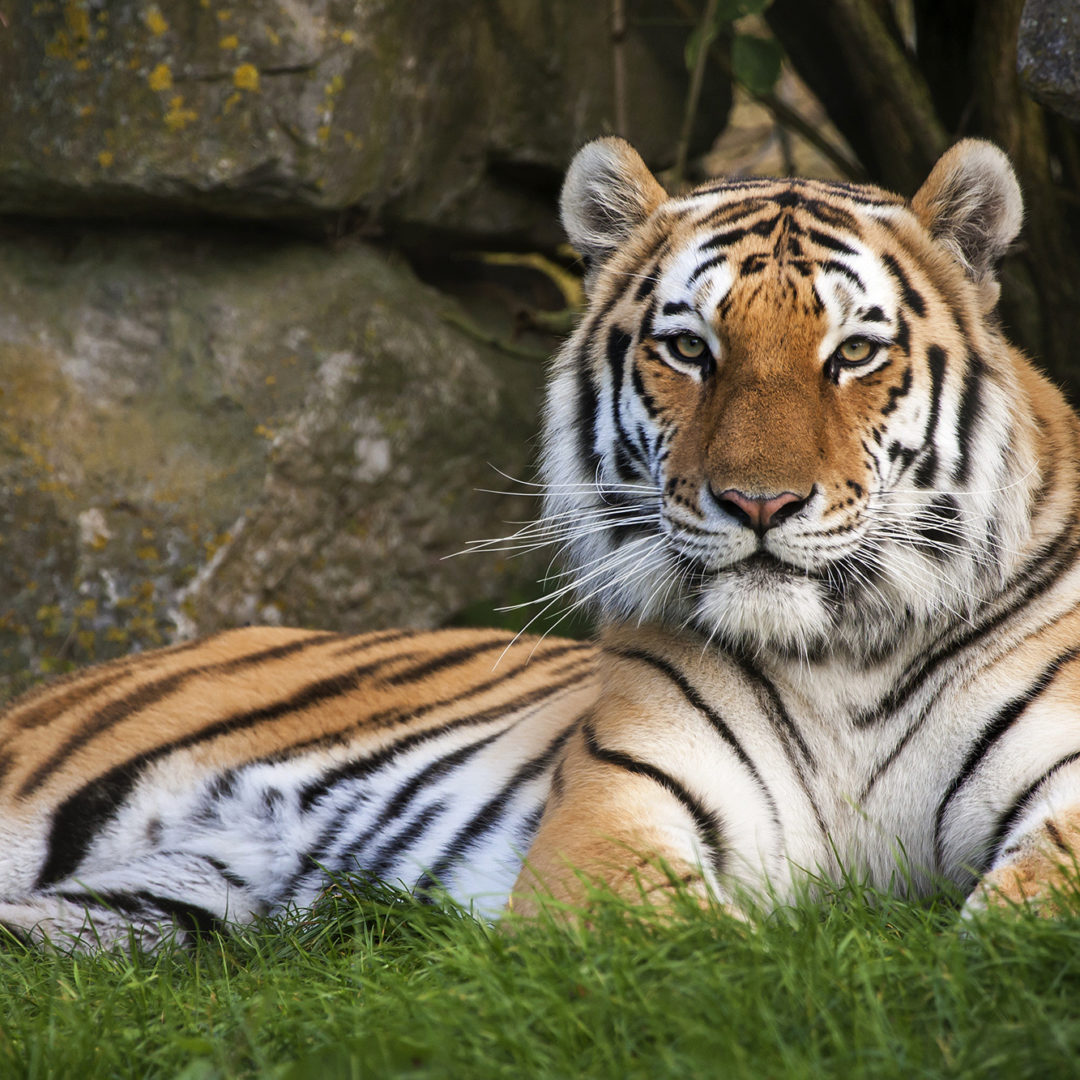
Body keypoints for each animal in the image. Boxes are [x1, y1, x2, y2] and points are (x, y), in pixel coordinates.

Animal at [2, 132, 1080, 946]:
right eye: (688, 349)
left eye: (854, 352)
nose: (758, 503)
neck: (844, 654)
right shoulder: (621, 813)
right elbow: (706, 949)